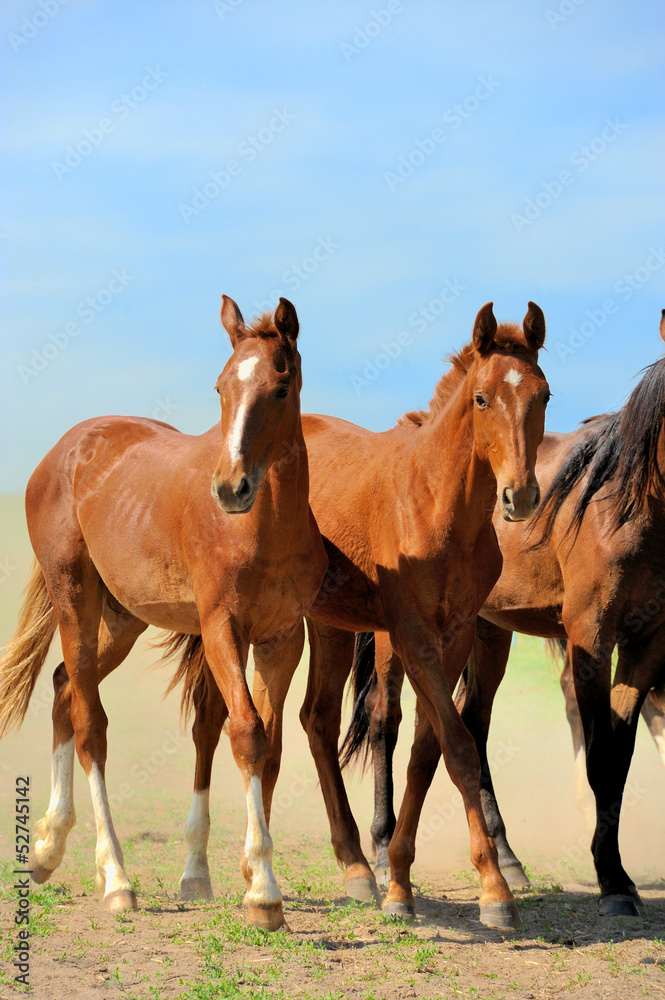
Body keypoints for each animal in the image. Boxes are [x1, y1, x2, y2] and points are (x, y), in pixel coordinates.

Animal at [0, 296, 328, 931]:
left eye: (280, 386)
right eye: (221, 387)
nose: (230, 488)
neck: (265, 528)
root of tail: (62, 451)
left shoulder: (281, 639)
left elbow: (269, 746)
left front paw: (236, 875)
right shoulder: (222, 628)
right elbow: (245, 733)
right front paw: (263, 891)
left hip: (123, 620)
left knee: (63, 686)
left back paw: (49, 847)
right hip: (75, 600)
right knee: (90, 725)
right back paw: (115, 878)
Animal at [182, 302, 550, 931]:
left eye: (544, 395)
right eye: (481, 398)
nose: (520, 497)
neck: (436, 506)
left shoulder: (453, 638)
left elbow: (430, 750)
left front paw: (400, 876)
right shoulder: (410, 635)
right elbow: (457, 746)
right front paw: (491, 889)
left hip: (328, 625)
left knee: (313, 721)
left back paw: (349, 865)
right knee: (238, 722)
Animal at [343, 310, 665, 918]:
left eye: (546, 396)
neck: (631, 502)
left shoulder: (647, 645)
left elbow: (619, 758)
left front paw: (617, 875)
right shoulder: (590, 637)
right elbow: (598, 758)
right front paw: (611, 881)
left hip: (488, 634)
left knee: (472, 723)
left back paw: (507, 859)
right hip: (398, 640)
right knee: (384, 720)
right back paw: (381, 850)